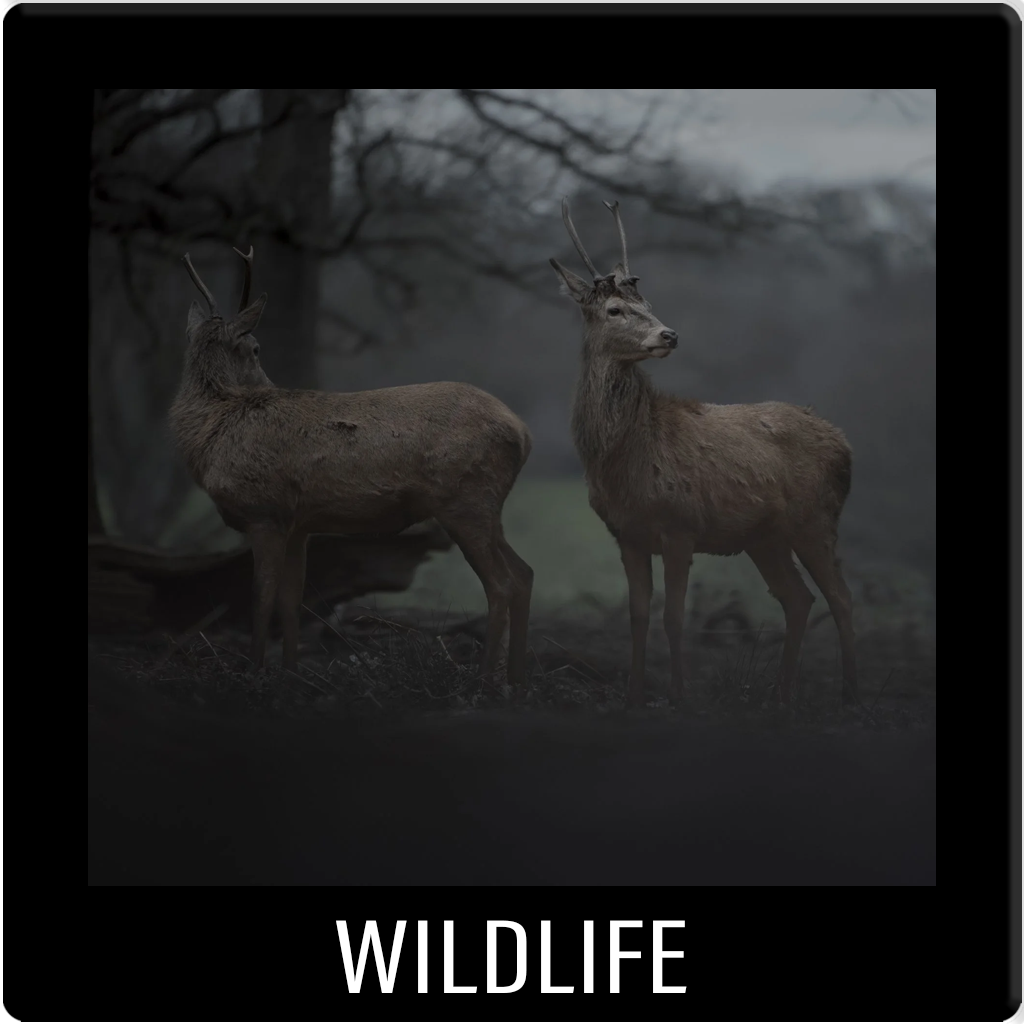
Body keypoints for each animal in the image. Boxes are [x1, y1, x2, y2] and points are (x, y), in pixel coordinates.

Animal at [169, 246, 534, 686]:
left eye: (255, 347)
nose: (269, 383)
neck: (215, 433)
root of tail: (522, 433)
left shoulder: (264, 511)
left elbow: (260, 594)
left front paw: (254, 671)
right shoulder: (298, 523)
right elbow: (292, 598)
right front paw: (291, 673)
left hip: (466, 500)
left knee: (501, 584)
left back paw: (485, 679)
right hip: (487, 507)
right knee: (524, 574)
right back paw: (516, 679)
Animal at [549, 197, 858, 709]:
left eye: (649, 305)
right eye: (615, 309)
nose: (669, 335)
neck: (624, 457)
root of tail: (845, 444)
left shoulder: (681, 524)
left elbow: (674, 617)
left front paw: (678, 696)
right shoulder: (627, 534)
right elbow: (638, 616)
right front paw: (633, 695)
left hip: (816, 519)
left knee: (841, 597)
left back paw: (848, 693)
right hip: (764, 536)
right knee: (798, 598)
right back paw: (780, 694)